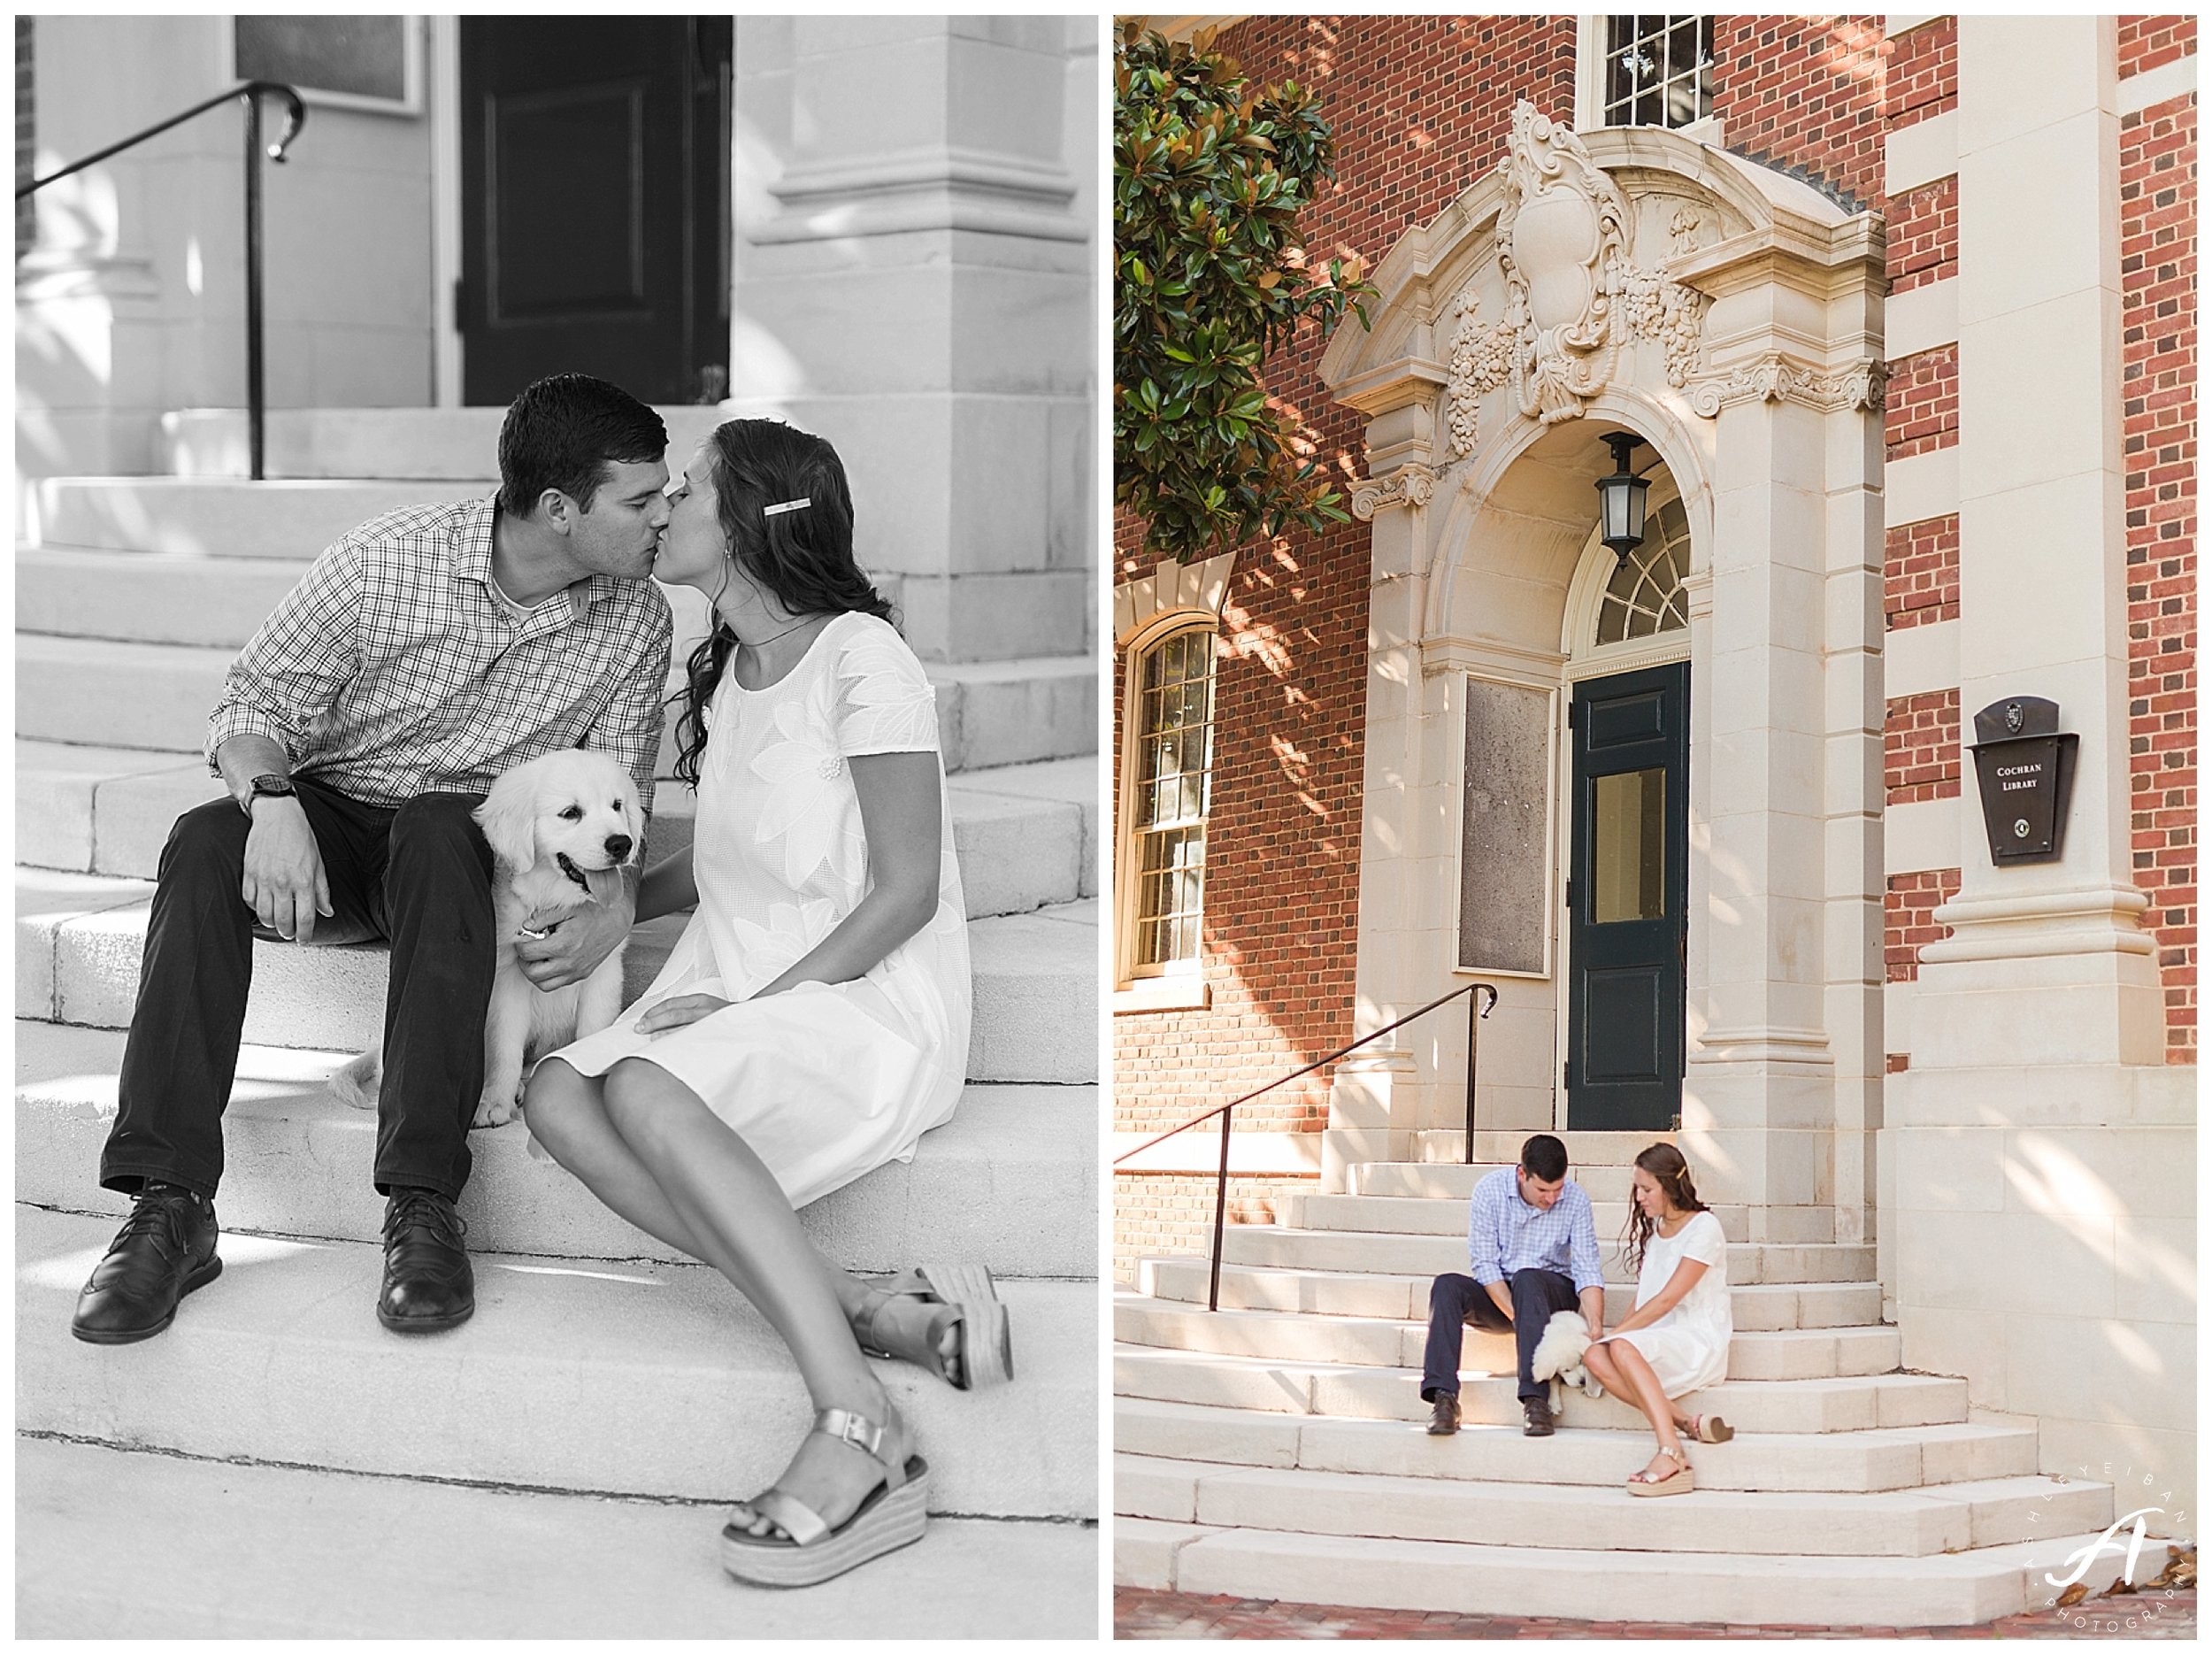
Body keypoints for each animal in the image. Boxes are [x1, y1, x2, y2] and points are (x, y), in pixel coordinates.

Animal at [327, 748, 646, 1124]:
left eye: (617, 805)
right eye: (571, 813)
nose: (621, 844)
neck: (552, 901)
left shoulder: (603, 973)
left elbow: (593, 1033)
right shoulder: (508, 980)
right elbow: (504, 1048)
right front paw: (495, 1101)